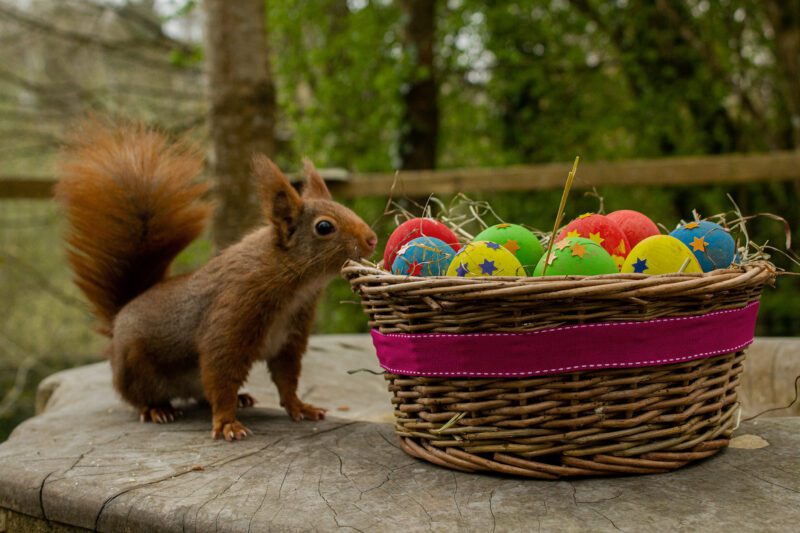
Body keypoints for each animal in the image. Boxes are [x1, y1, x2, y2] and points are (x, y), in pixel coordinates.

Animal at [55, 121, 378, 440]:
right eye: (324, 227)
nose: (372, 239)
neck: (294, 284)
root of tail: (120, 315)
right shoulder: (232, 315)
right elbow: (221, 371)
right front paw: (226, 423)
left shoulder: (290, 337)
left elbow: (286, 378)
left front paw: (300, 407)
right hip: (135, 366)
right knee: (139, 396)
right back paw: (158, 409)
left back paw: (241, 398)